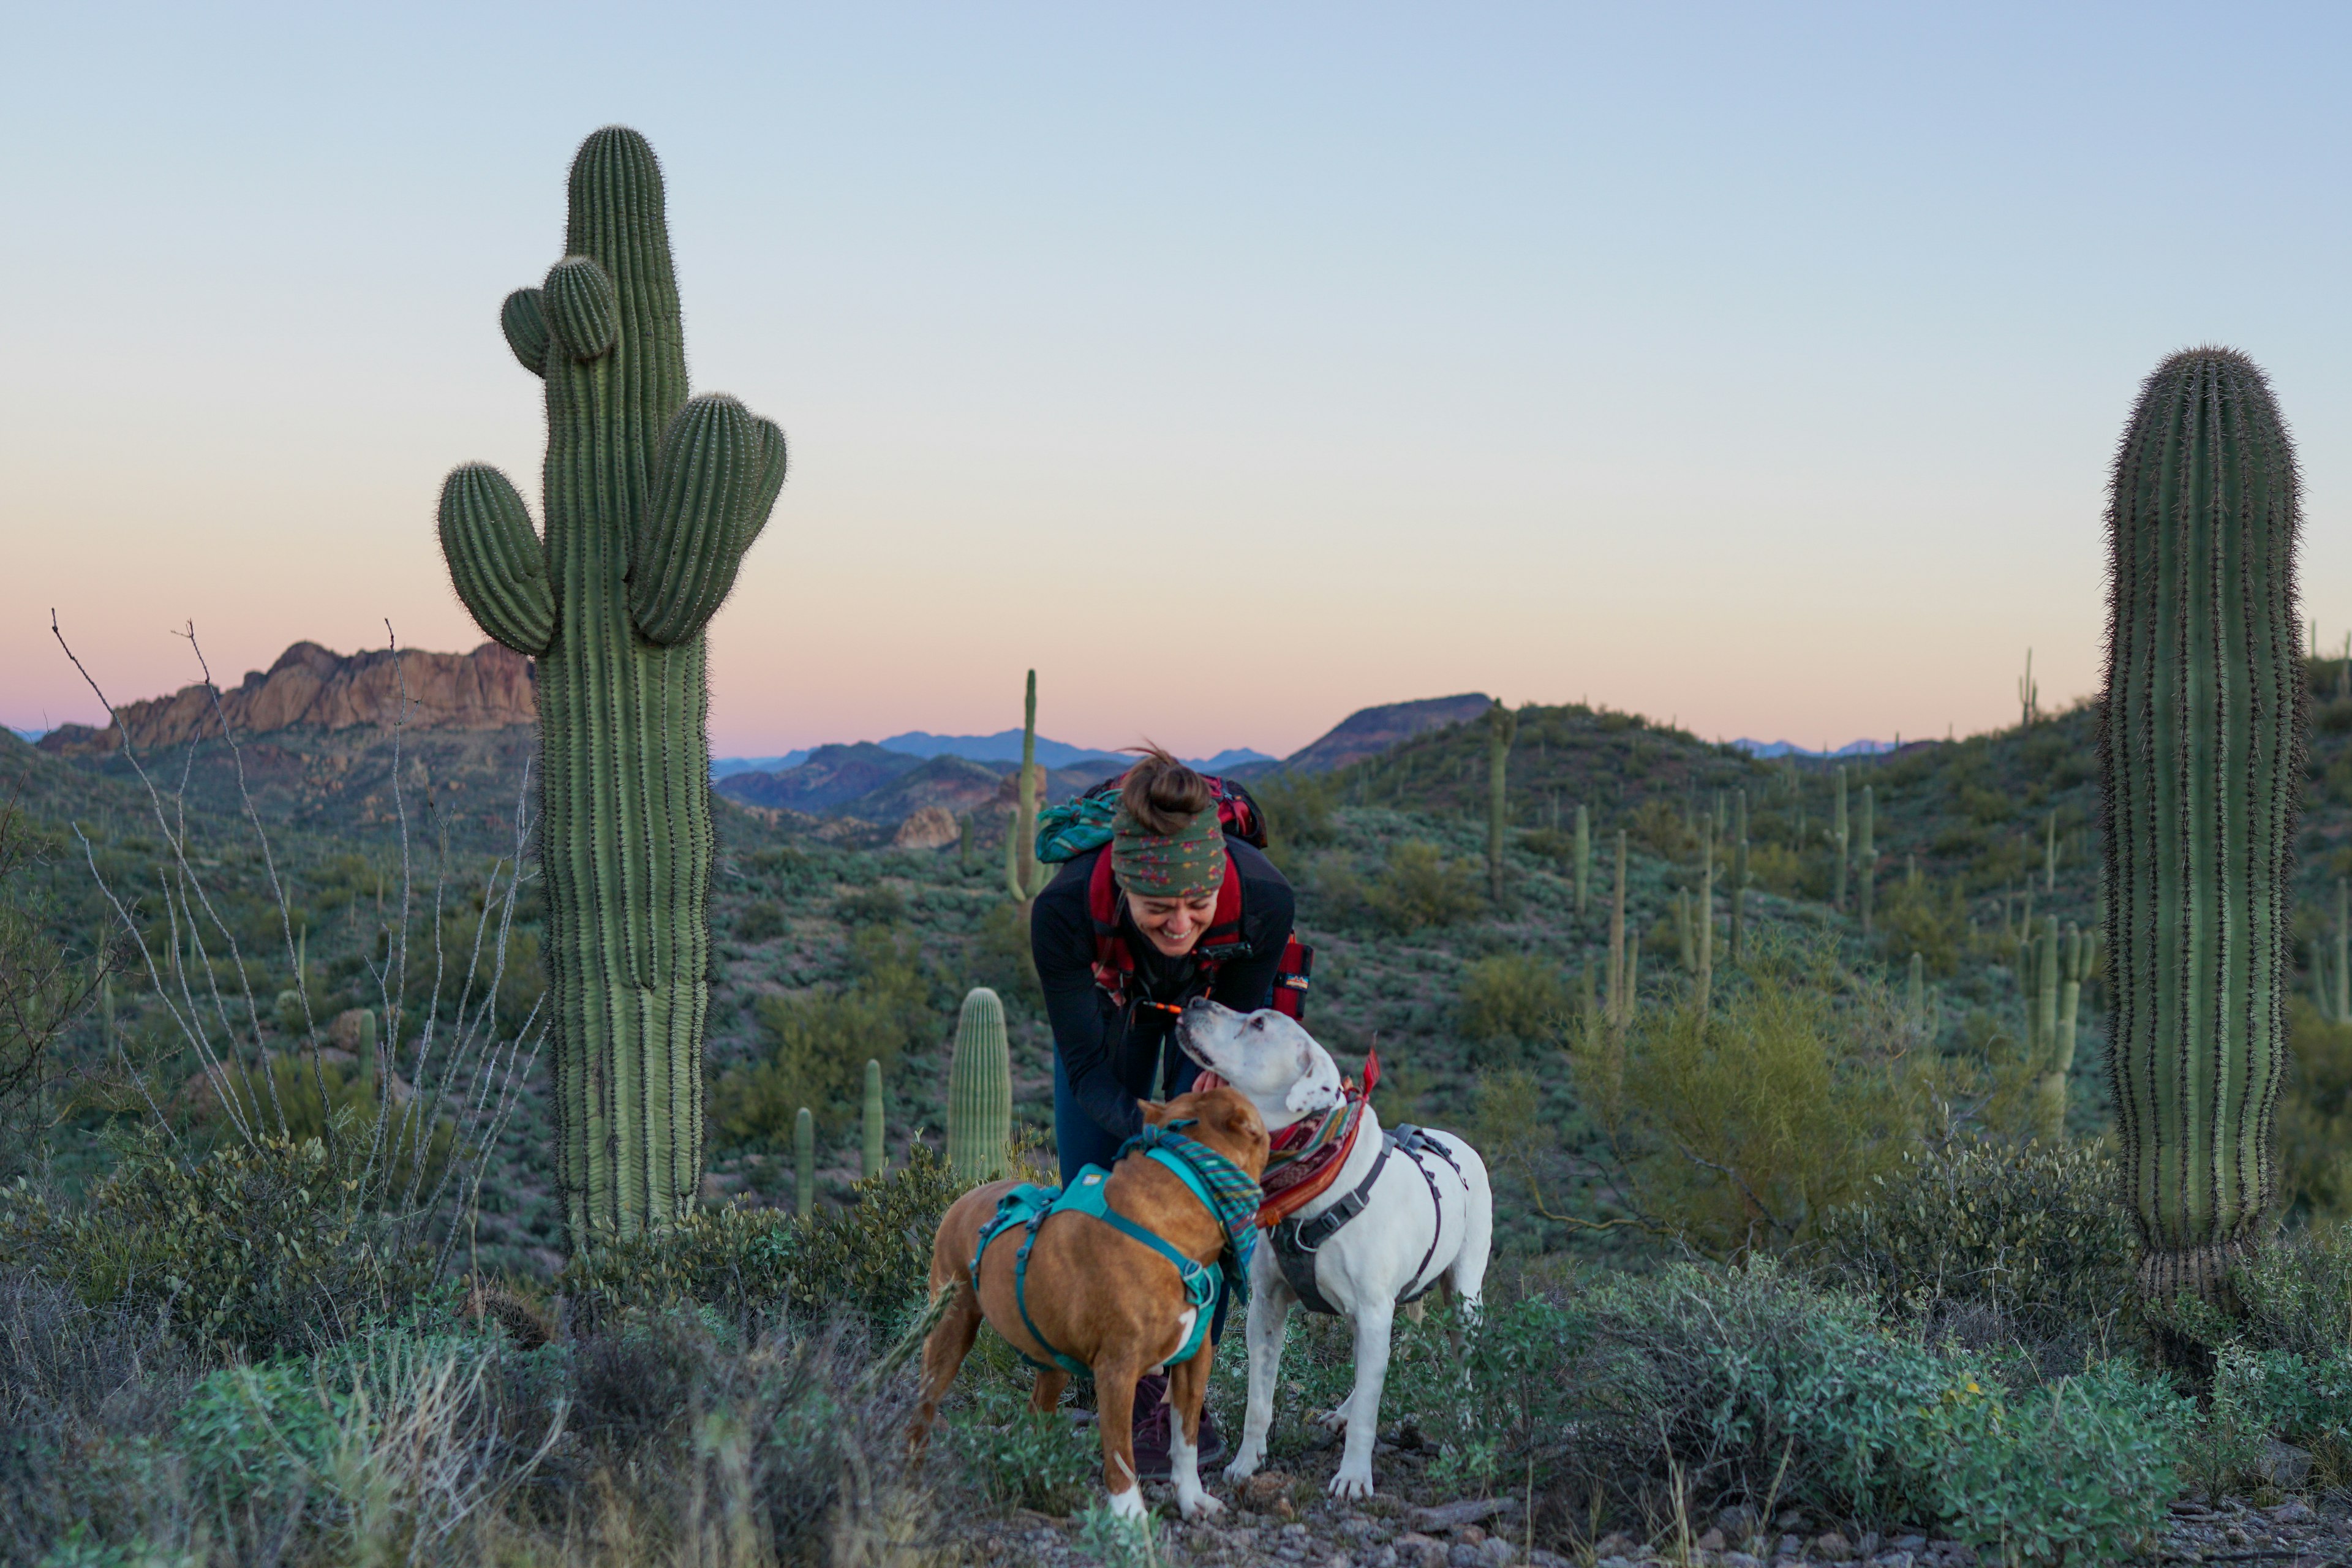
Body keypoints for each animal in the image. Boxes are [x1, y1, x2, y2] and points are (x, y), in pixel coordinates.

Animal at [908, 1090, 1270, 1523]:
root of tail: (966, 1195)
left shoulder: (1193, 1362)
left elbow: (1186, 1440)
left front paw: (1191, 1498)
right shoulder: (1116, 1372)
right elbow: (1120, 1458)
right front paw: (1130, 1522)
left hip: (1052, 1361)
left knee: (1036, 1410)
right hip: (950, 1332)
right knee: (923, 1410)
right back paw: (912, 1481)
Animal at [1176, 1001, 1486, 1504]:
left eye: (1259, 1023)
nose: (1197, 1003)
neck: (1312, 1176)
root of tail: (1457, 1142)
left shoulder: (1375, 1312)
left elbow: (1369, 1415)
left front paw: (1355, 1477)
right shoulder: (1266, 1308)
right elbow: (1259, 1400)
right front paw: (1246, 1463)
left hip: (1464, 1300)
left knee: (1460, 1372)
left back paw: (1462, 1430)